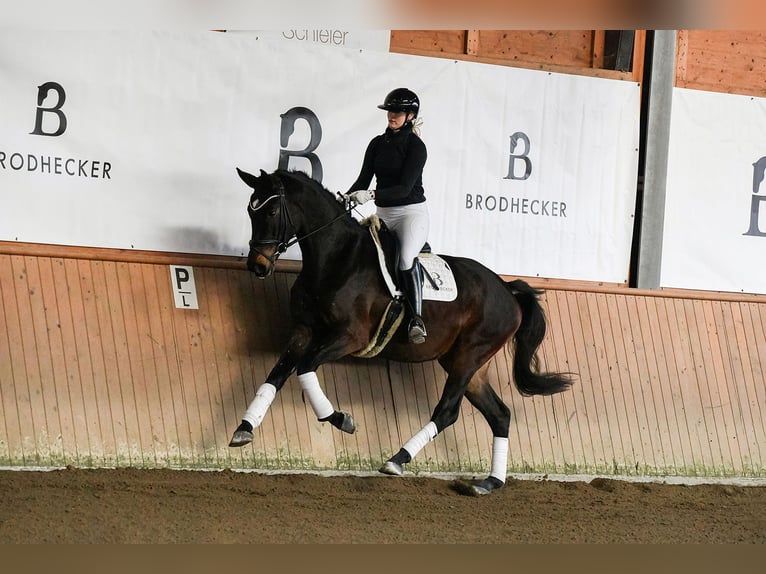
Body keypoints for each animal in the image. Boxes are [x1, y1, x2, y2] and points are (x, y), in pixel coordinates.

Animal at [229, 167, 574, 495]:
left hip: (468, 356)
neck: (336, 259)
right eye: (249, 210)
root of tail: (507, 289)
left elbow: (304, 368)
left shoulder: (350, 336)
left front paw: (340, 419)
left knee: (447, 412)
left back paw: (397, 460)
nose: (258, 266)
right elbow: (275, 376)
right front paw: (244, 428)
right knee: (500, 415)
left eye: (272, 211)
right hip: (469, 365)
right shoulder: (303, 332)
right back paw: (488, 483)